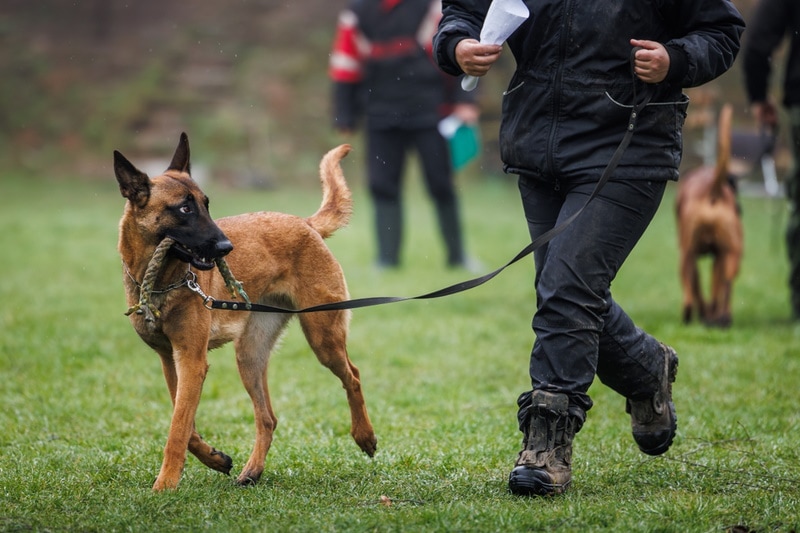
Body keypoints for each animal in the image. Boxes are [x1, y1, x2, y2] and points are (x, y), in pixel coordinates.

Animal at [113, 134, 378, 490]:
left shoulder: (192, 361)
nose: (226, 248)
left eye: (206, 204)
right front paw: (214, 458)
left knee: (354, 375)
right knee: (268, 418)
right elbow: (185, 424)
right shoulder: (172, 360)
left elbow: (178, 429)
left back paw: (364, 436)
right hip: (250, 354)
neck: (160, 282)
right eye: (185, 208)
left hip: (323, 337)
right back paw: (252, 470)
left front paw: (165, 485)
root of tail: (305, 224)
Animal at [676, 104, 744, 326]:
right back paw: (721, 318)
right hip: (730, 255)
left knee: (692, 289)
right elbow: (715, 286)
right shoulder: (719, 256)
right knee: (726, 284)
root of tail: (713, 189)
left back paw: (694, 315)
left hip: (688, 255)